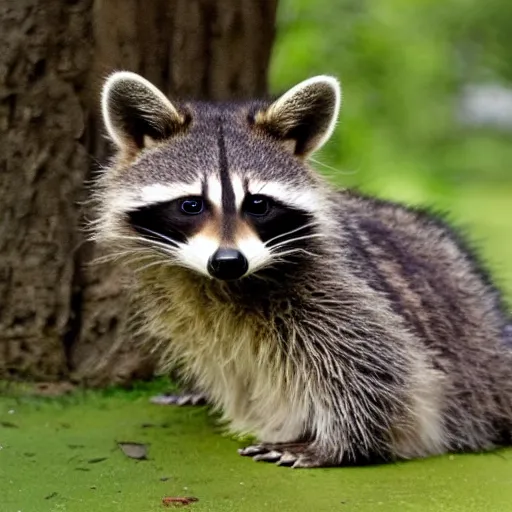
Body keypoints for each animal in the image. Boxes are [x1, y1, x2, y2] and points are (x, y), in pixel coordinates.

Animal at [94, 70, 512, 466]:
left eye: (258, 204)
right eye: (191, 205)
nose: (228, 261)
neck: (221, 284)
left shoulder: (336, 285)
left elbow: (380, 366)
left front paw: (338, 443)